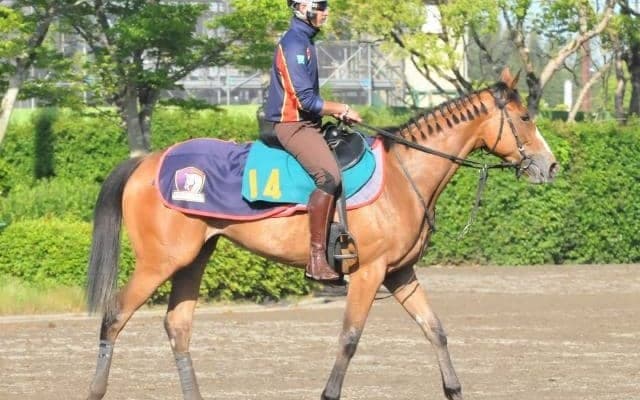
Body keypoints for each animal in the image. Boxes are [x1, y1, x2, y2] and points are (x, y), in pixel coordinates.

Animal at [85, 68, 557, 400]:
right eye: (524, 117)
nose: (549, 166)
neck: (403, 176)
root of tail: (148, 161)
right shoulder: (369, 274)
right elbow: (349, 338)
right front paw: (329, 393)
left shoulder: (400, 275)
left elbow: (435, 329)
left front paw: (454, 388)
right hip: (159, 263)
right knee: (114, 316)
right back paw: (95, 389)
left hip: (192, 260)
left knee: (177, 326)